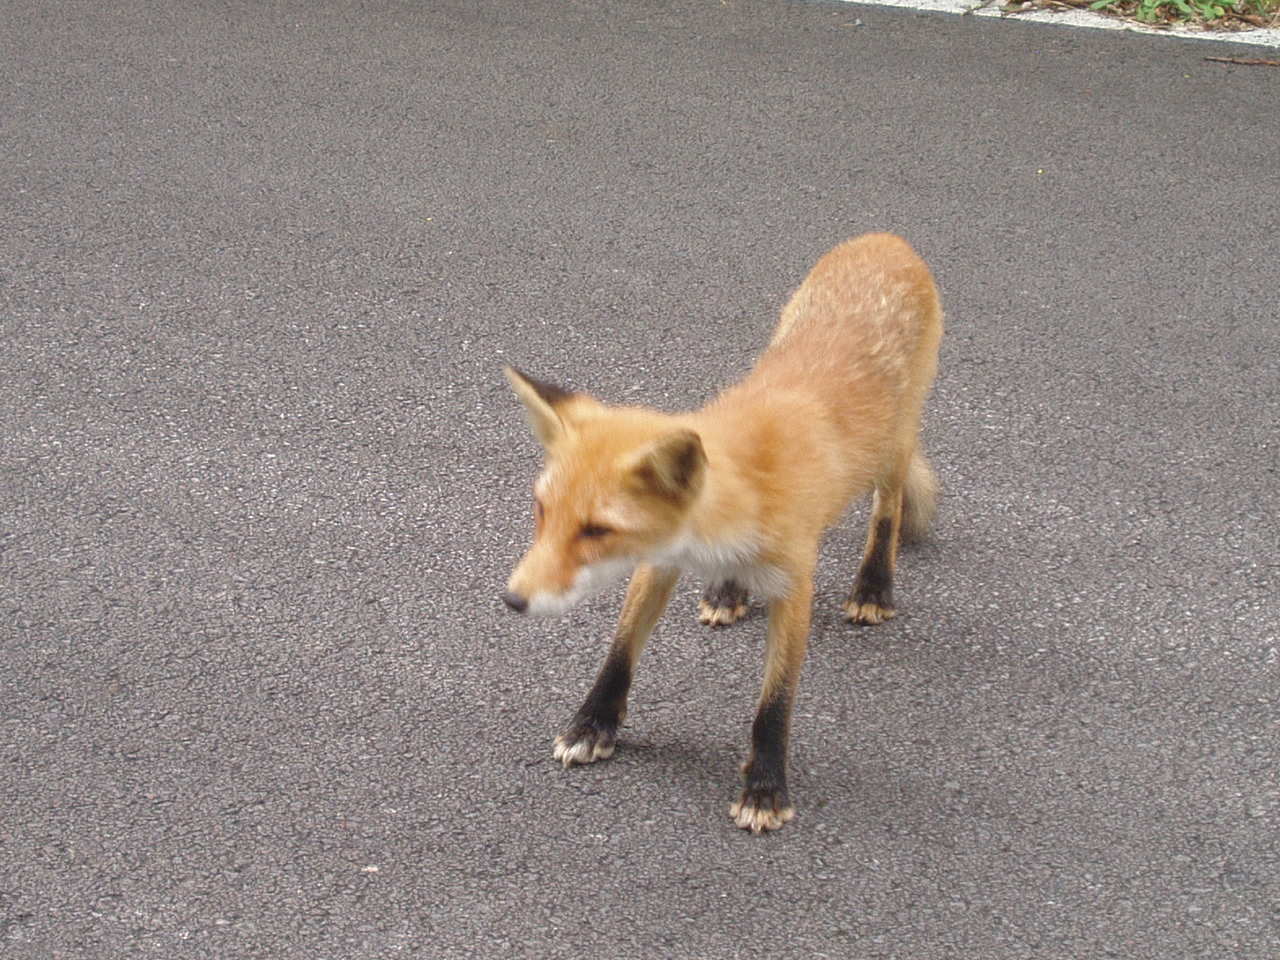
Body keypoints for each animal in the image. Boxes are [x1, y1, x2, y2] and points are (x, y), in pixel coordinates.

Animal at [502, 232, 943, 833]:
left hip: (894, 444)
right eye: (542, 510)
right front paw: (592, 725)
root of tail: (887, 239)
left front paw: (765, 788)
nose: (512, 600)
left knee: (888, 508)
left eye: (597, 529)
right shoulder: (660, 561)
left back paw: (874, 587)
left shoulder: (794, 584)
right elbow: (620, 651)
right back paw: (729, 590)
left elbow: (774, 703)